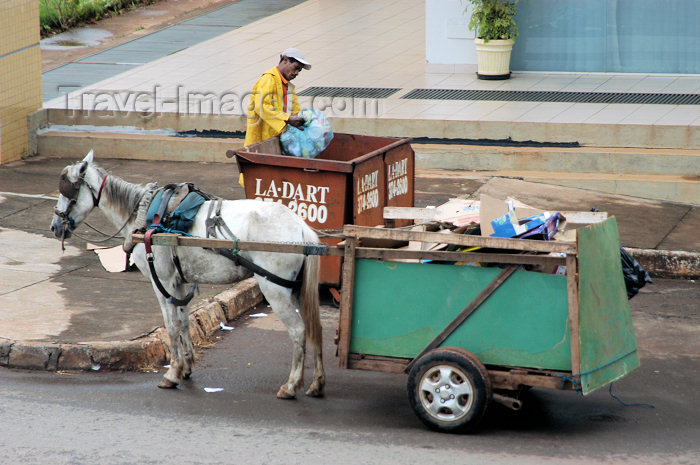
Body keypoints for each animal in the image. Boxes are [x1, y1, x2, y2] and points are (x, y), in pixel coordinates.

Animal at [51, 150, 326, 396]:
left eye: (67, 190)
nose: (55, 227)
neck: (144, 214)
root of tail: (302, 228)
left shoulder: (161, 281)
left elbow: (171, 326)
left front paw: (172, 373)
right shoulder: (178, 282)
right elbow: (184, 321)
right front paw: (187, 367)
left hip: (275, 289)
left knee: (298, 331)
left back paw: (291, 386)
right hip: (293, 288)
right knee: (315, 328)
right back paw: (316, 383)